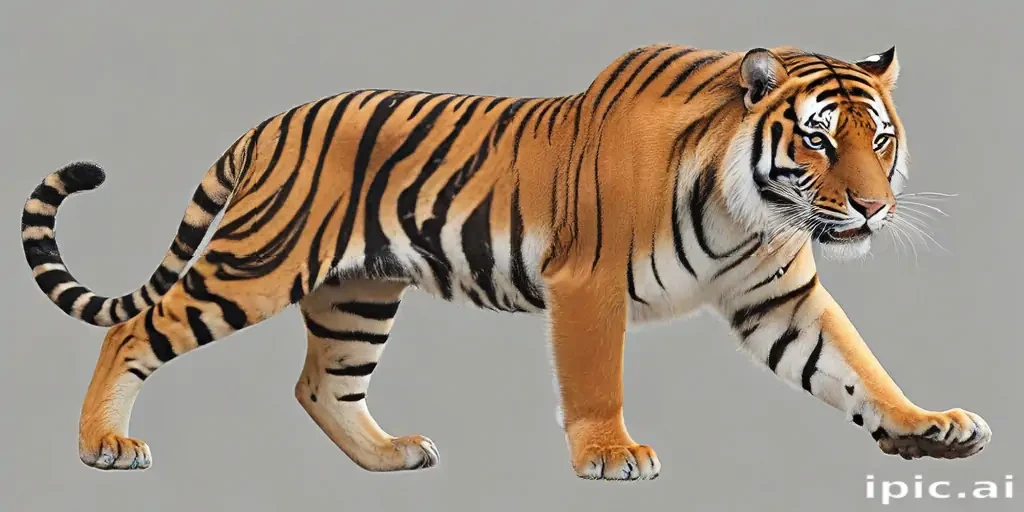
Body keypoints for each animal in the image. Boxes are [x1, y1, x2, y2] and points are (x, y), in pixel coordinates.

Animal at [21, 42, 991, 481]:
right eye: (819, 141)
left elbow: (858, 365)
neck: (748, 212)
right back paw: (103, 446)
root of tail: (271, 121)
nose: (873, 206)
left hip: (358, 293)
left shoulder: (779, 298)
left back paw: (390, 456)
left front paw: (927, 424)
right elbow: (597, 380)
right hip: (254, 265)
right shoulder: (587, 285)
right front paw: (612, 455)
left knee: (321, 385)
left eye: (880, 139)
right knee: (134, 333)